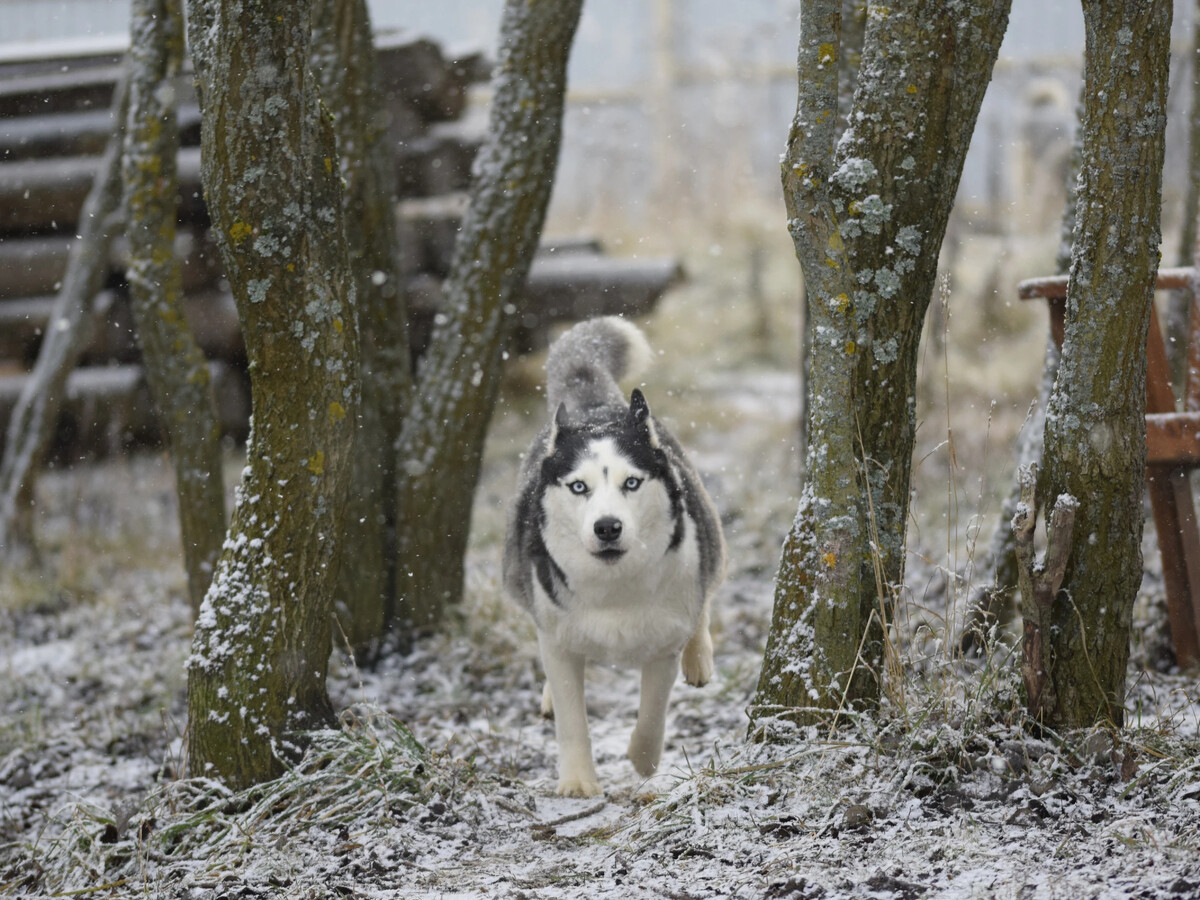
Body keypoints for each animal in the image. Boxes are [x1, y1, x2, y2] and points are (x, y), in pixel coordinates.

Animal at [504, 316, 724, 796]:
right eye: (578, 487)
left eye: (632, 483)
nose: (607, 527)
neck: (614, 585)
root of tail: (595, 407)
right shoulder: (560, 640)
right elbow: (571, 715)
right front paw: (577, 782)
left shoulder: (663, 644)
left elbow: (653, 711)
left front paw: (643, 760)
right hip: (515, 573)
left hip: (710, 535)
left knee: (707, 591)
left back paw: (698, 656)